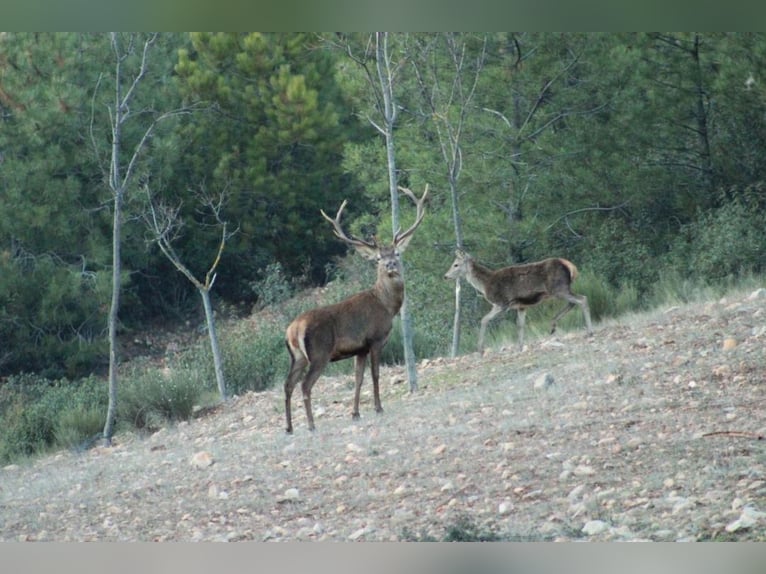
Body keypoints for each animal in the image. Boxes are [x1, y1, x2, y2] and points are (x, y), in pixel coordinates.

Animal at [284, 184, 428, 432]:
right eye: (378, 258)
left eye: (397, 253)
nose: (390, 264)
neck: (387, 306)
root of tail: (293, 330)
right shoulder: (375, 338)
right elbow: (375, 375)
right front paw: (379, 408)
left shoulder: (359, 349)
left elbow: (358, 379)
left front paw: (355, 413)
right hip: (319, 352)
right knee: (305, 385)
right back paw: (311, 425)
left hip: (298, 356)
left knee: (287, 384)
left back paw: (290, 428)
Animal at [444, 251, 592, 354]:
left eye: (456, 264)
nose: (445, 276)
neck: (485, 285)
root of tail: (569, 265)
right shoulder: (521, 306)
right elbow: (520, 325)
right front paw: (519, 347)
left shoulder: (502, 303)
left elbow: (484, 320)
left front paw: (480, 349)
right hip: (562, 290)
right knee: (574, 302)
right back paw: (553, 325)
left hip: (559, 289)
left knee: (583, 299)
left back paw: (589, 332)